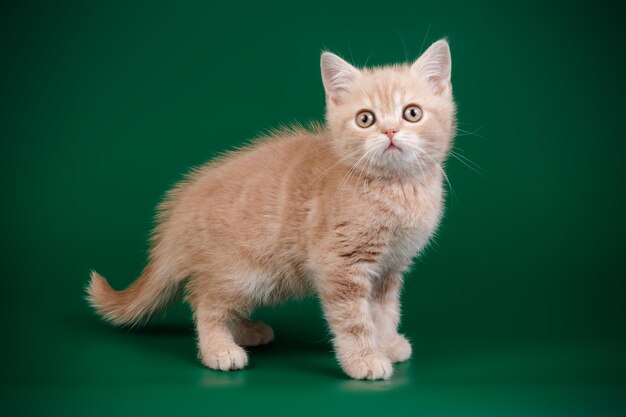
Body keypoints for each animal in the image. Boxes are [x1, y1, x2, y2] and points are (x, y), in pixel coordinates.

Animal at [86, 39, 454, 380]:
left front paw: (387, 343)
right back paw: (220, 349)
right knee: (205, 303)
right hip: (242, 272)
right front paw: (364, 359)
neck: (396, 188)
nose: (390, 131)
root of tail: (177, 217)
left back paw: (247, 331)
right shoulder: (339, 264)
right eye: (365, 119)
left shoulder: (390, 268)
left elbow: (384, 312)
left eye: (412, 113)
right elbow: (354, 319)